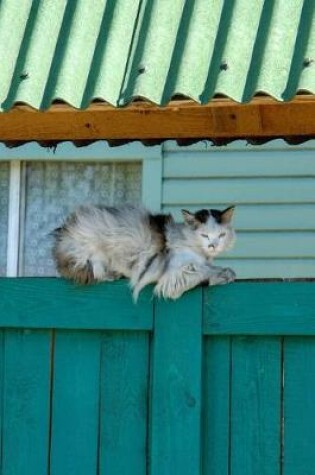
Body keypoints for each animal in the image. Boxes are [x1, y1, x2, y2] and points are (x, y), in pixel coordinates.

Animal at [53, 205, 237, 302]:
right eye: (204, 235)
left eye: (221, 235)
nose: (213, 245)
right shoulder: (175, 275)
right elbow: (202, 273)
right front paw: (224, 275)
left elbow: (210, 268)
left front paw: (226, 272)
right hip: (93, 255)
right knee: (97, 273)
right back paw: (113, 274)